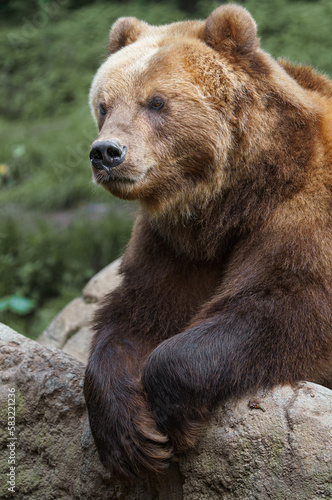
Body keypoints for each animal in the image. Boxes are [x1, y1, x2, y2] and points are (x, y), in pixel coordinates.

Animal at [83, 4, 332, 480]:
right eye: (104, 105)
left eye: (156, 102)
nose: (106, 152)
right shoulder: (175, 245)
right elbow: (140, 313)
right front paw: (131, 436)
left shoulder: (305, 210)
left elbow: (287, 304)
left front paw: (173, 415)